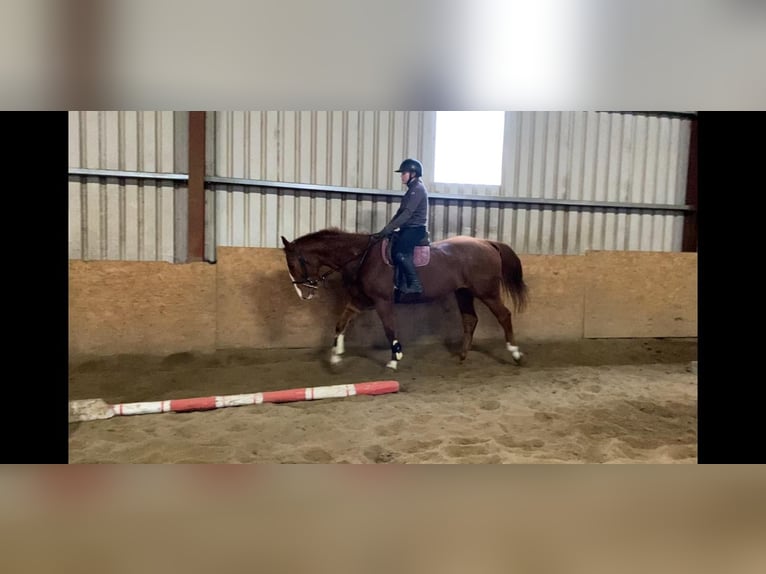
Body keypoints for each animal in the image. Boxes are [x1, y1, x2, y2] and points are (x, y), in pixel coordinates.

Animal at [280, 230, 528, 374]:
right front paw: (335, 357)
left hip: (487, 292)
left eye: (292, 264)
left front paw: (394, 359)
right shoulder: (360, 301)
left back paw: (516, 354)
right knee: (470, 320)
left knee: (504, 316)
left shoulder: (383, 302)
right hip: (464, 293)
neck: (362, 257)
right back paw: (463, 356)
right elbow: (340, 324)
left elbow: (389, 329)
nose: (304, 294)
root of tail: (487, 243)